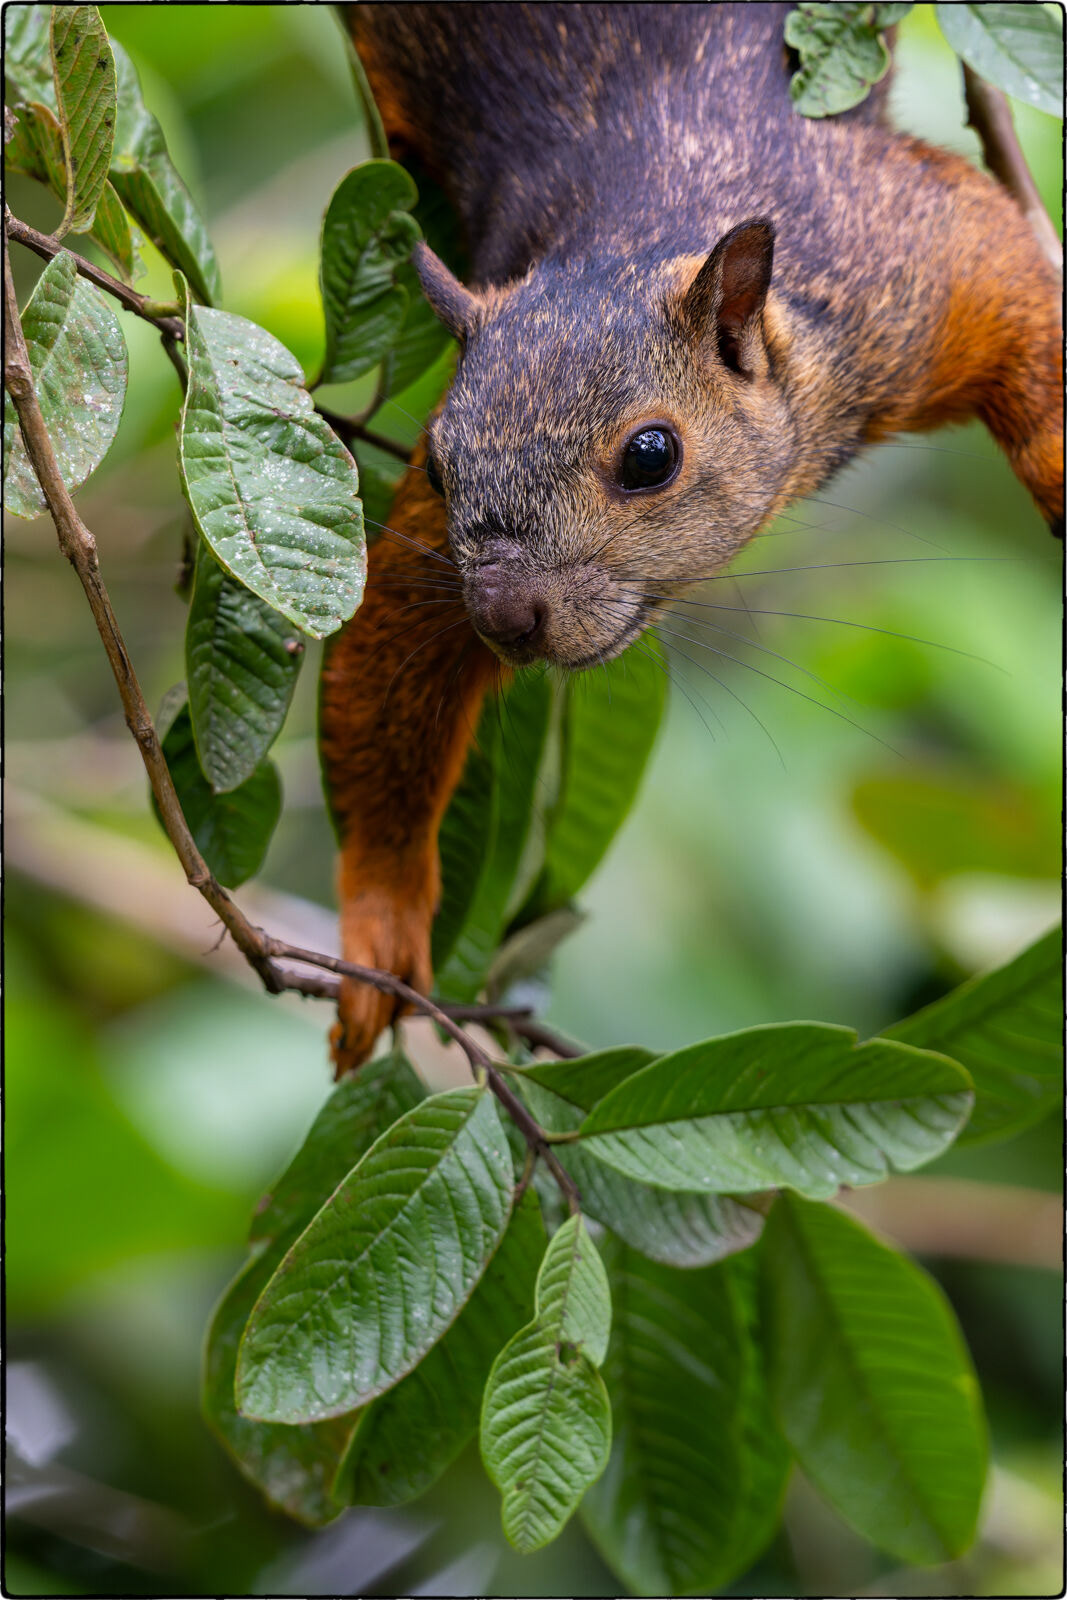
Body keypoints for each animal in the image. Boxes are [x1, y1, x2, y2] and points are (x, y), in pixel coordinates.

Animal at [320, 2, 1063, 1073]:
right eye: (437, 469)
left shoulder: (917, 249)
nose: (504, 617)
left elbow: (1016, 287)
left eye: (650, 456)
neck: (631, 234)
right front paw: (378, 923)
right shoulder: (430, 557)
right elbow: (388, 652)